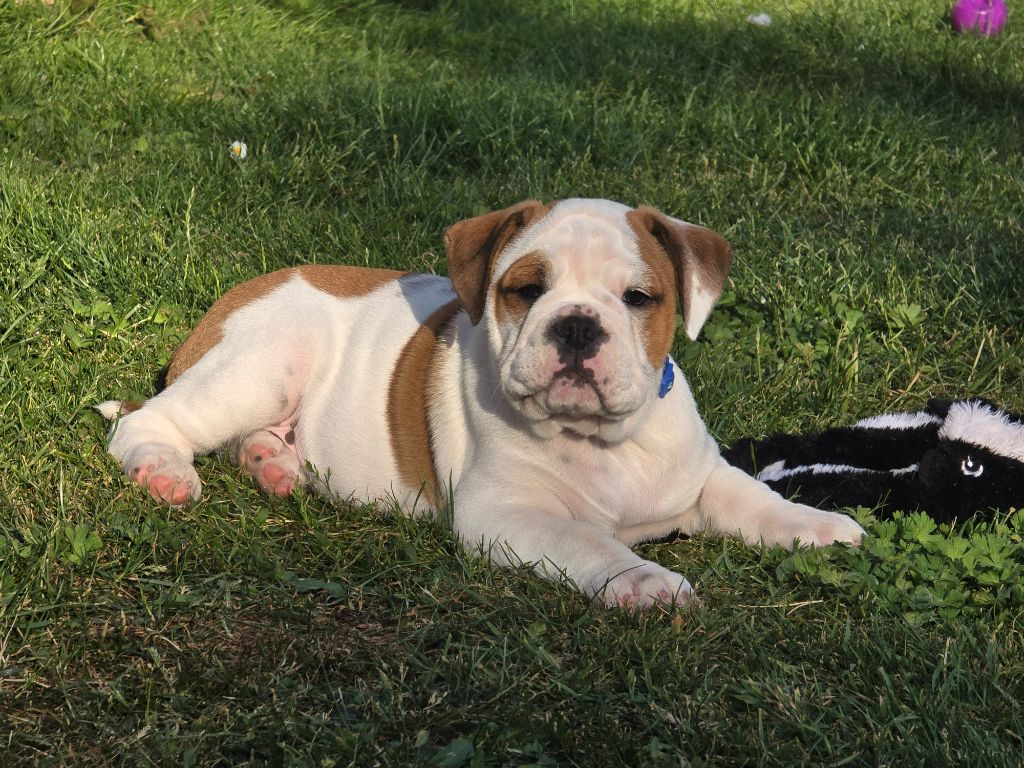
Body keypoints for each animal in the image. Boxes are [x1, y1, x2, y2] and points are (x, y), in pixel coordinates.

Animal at [100, 198, 865, 608]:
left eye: (638, 298)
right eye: (526, 290)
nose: (577, 325)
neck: (599, 441)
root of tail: (236, 296)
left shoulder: (700, 475)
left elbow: (754, 499)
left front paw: (818, 525)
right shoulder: (509, 515)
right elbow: (592, 541)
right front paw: (647, 581)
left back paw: (275, 465)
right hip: (261, 365)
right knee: (151, 420)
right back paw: (164, 472)